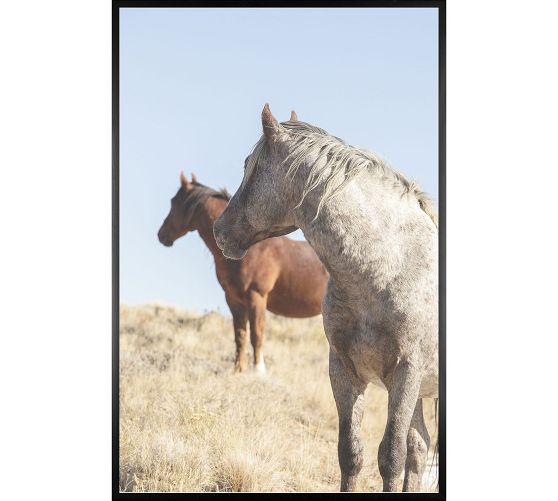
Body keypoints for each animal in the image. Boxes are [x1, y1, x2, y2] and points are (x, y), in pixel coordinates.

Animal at [156, 172, 328, 372]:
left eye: (174, 202)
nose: (161, 235)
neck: (249, 252)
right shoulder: (234, 299)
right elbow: (240, 335)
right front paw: (238, 369)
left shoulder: (257, 297)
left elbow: (257, 334)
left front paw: (259, 371)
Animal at [212, 103, 440, 490]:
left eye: (247, 165)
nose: (219, 230)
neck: (389, 267)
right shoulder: (344, 370)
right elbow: (351, 454)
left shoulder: (406, 372)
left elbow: (390, 457)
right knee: (419, 448)